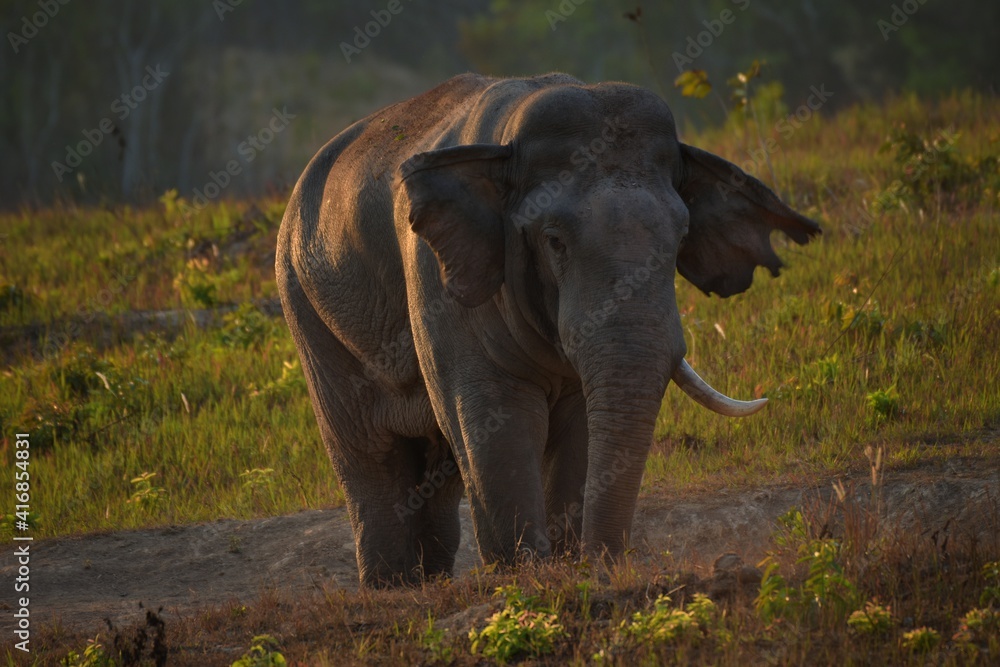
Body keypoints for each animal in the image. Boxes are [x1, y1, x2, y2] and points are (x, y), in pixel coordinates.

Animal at [276, 72, 820, 587]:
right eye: (554, 241)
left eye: (682, 235)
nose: (606, 565)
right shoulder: (438, 280)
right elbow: (498, 418)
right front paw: (523, 574)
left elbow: (577, 424)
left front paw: (563, 564)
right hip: (305, 306)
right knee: (369, 454)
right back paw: (392, 587)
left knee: (437, 463)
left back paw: (428, 580)